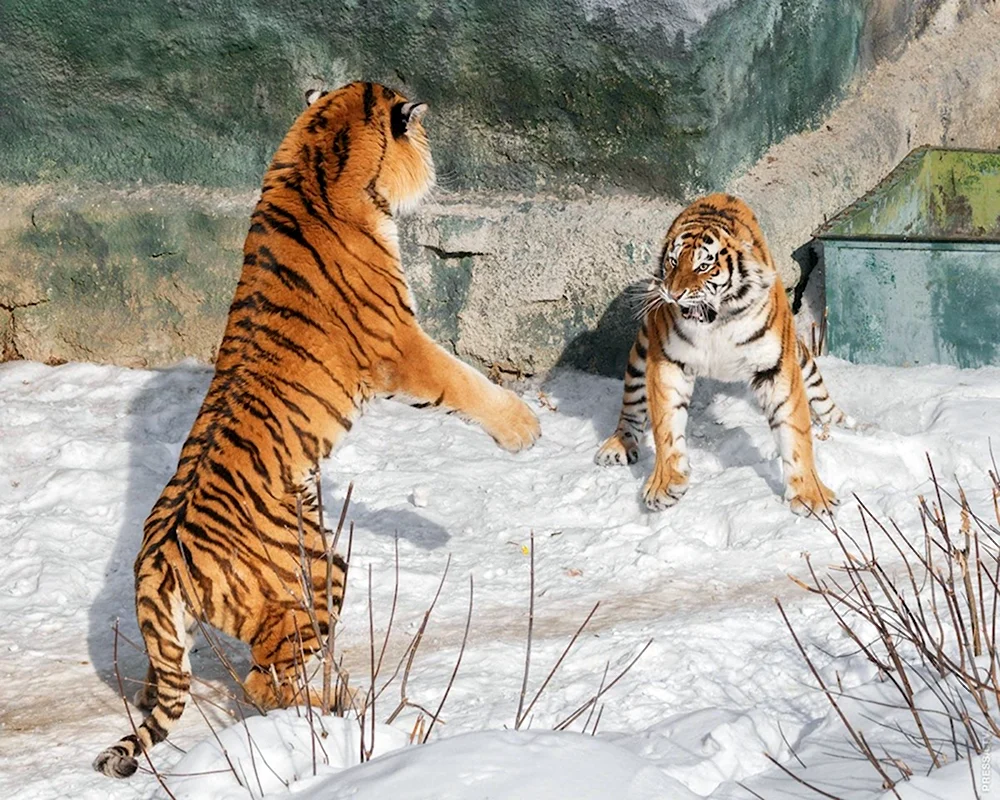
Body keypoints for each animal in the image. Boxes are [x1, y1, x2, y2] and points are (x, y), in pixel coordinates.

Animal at [94, 81, 540, 779]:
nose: (437, 161)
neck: (316, 156)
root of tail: (157, 565)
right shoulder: (402, 346)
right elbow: (464, 383)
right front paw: (524, 427)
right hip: (318, 573)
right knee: (263, 683)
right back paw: (346, 705)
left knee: (174, 685)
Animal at [595, 193, 853, 516]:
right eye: (673, 262)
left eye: (704, 266)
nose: (673, 294)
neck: (715, 322)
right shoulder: (667, 361)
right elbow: (666, 425)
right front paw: (665, 484)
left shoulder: (776, 367)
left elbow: (795, 431)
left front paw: (811, 495)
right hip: (642, 350)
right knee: (631, 403)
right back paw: (618, 445)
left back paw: (845, 423)